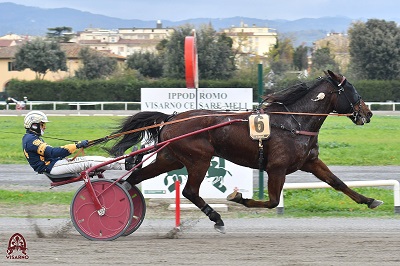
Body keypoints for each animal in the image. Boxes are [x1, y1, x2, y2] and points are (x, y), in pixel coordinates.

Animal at [108, 70, 382, 233]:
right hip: (199, 158)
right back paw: (216, 218)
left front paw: (370, 200)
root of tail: (171, 118)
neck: (294, 122)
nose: (367, 113)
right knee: (189, 191)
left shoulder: (310, 162)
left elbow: (338, 183)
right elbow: (272, 201)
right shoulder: (276, 168)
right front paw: (238, 197)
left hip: (170, 158)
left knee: (135, 178)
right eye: (352, 90)